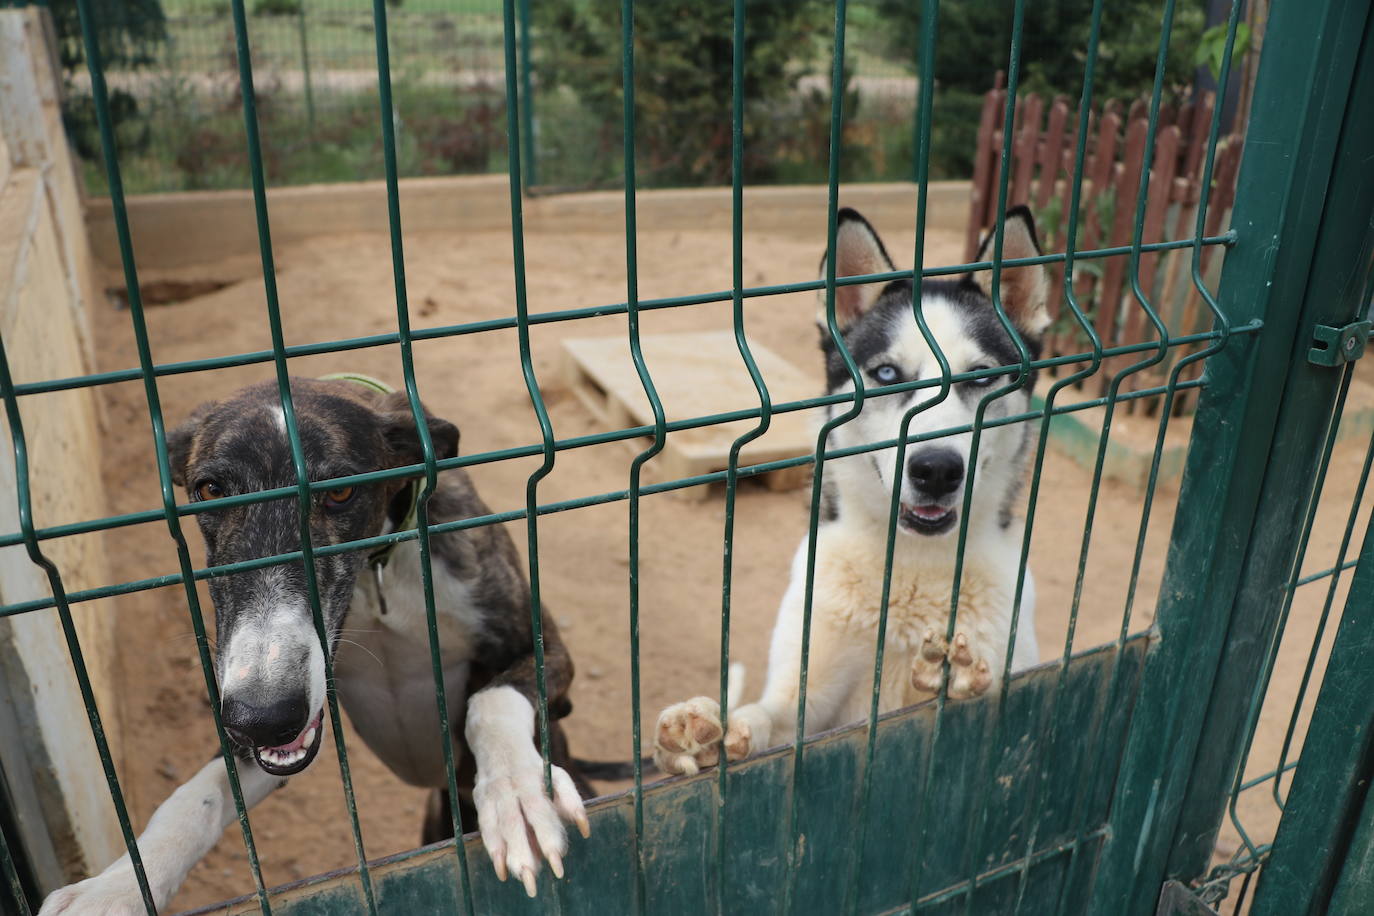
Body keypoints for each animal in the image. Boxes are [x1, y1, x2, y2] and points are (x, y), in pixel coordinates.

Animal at [41, 376, 590, 911]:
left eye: (341, 493)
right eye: (209, 488)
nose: (261, 717)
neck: (375, 578)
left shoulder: (543, 650)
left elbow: (490, 701)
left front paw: (518, 796)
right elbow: (201, 792)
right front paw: (115, 889)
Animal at [651, 207, 1038, 774]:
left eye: (982, 377)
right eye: (887, 373)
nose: (936, 469)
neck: (912, 568)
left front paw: (951, 678)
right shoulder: (809, 698)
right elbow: (766, 715)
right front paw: (704, 733)